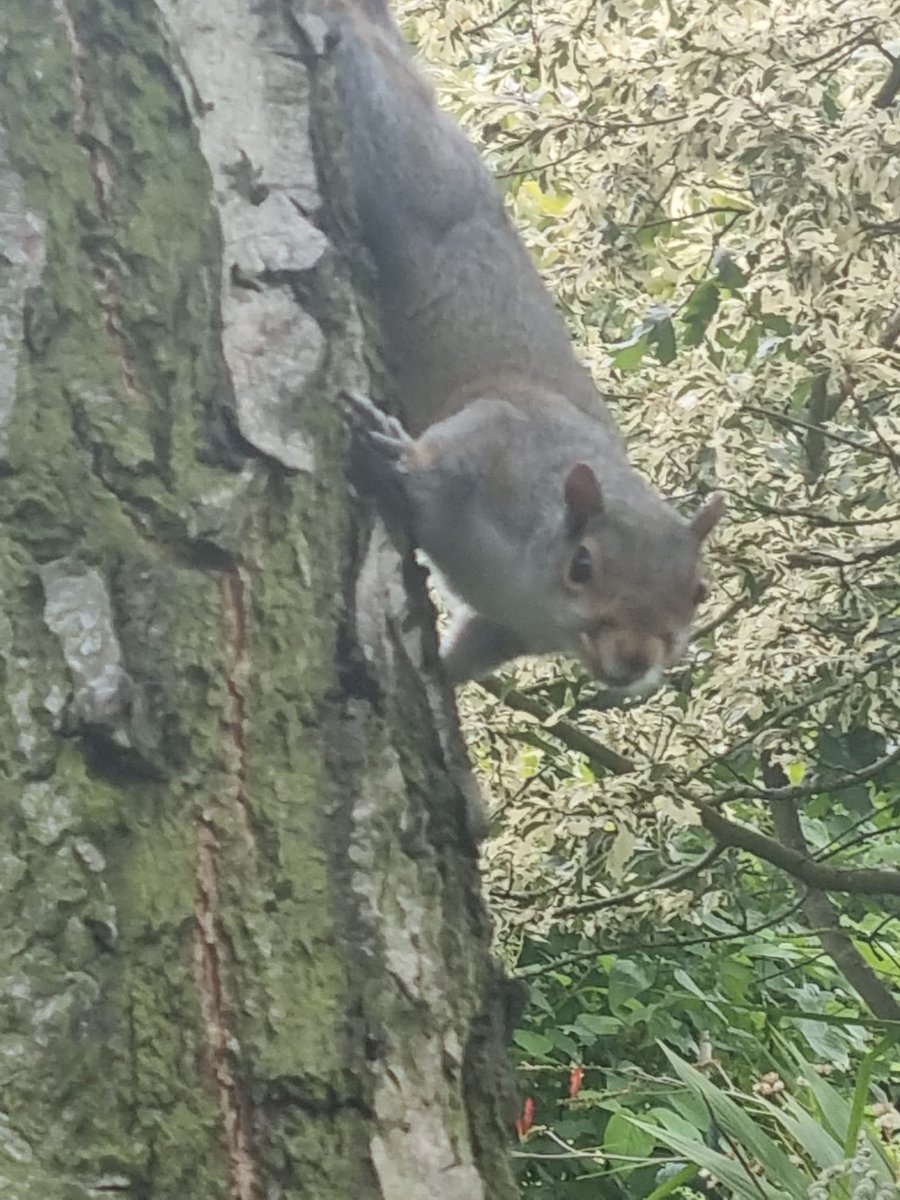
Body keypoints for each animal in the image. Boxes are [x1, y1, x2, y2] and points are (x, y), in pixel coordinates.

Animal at [328, 0, 723, 689]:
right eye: (583, 565)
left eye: (698, 592)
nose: (634, 662)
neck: (529, 589)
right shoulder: (505, 441)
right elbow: (454, 445)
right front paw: (398, 450)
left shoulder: (507, 629)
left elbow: (472, 650)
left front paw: (441, 680)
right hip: (407, 165)